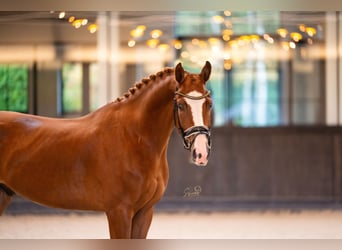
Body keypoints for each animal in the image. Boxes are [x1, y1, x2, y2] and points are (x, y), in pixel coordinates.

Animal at [0, 61, 211, 237]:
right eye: (181, 105)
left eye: (208, 104)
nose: (201, 153)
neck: (133, 138)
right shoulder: (119, 212)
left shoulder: (144, 213)